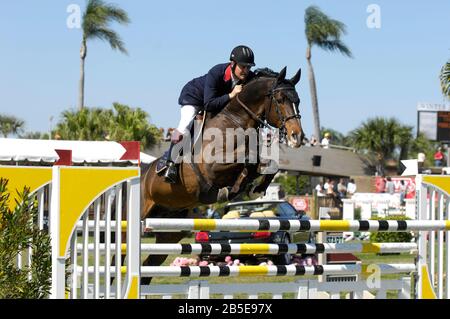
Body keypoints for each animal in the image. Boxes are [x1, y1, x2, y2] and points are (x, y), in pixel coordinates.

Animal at [140, 67, 306, 284]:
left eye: (298, 100)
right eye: (280, 99)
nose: (297, 137)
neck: (236, 120)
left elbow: (268, 164)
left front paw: (252, 188)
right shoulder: (212, 166)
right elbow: (248, 159)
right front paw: (234, 189)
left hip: (170, 230)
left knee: (149, 264)